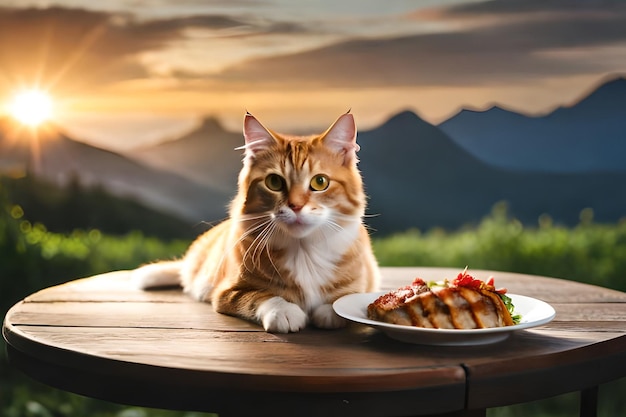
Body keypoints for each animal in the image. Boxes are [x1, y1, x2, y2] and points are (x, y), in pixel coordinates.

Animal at [133, 110, 380, 332]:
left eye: (320, 182)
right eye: (274, 182)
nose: (295, 206)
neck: (304, 251)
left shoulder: (363, 281)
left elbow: (343, 298)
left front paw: (331, 311)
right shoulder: (227, 292)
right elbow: (260, 296)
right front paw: (284, 311)